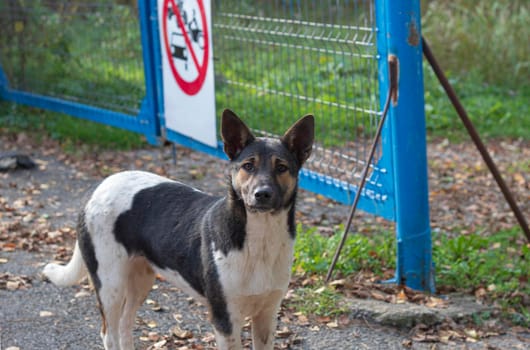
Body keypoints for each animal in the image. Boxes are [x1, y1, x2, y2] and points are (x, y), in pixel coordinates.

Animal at [43, 109, 314, 350]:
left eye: (281, 167)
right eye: (248, 166)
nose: (262, 194)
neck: (259, 240)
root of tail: (98, 187)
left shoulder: (267, 316)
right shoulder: (225, 321)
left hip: (140, 280)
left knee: (125, 326)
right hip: (110, 285)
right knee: (109, 335)